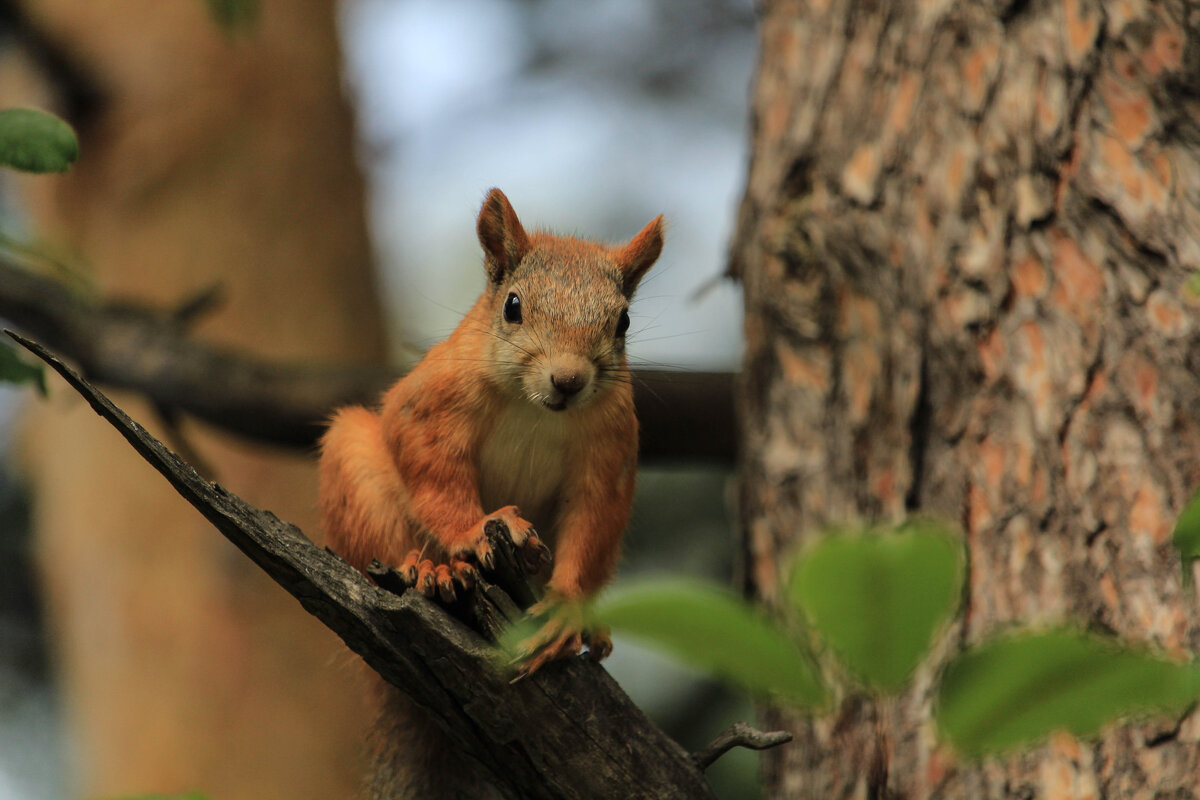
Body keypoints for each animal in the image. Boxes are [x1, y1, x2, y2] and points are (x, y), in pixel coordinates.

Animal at [319, 189, 667, 800]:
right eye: (512, 306)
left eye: (622, 321)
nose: (568, 380)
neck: (537, 408)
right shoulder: (432, 408)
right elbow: (435, 472)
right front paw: (473, 531)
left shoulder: (610, 454)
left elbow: (592, 522)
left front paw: (566, 609)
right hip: (354, 471)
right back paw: (428, 570)